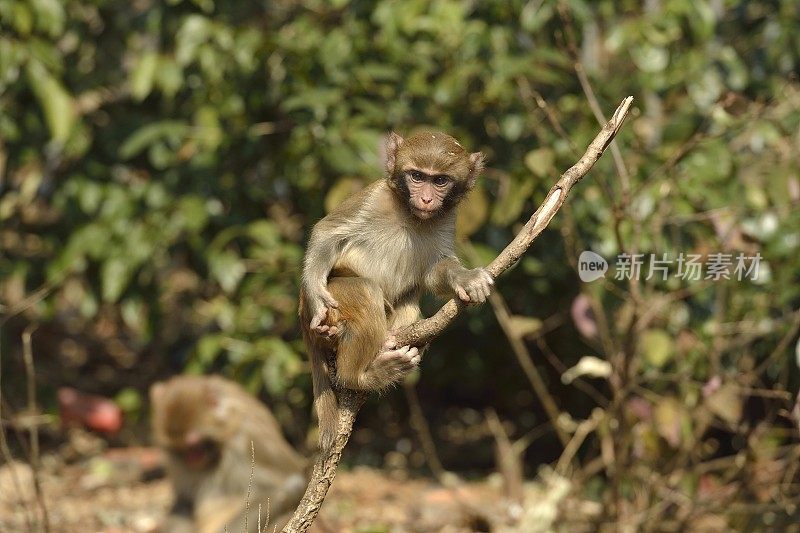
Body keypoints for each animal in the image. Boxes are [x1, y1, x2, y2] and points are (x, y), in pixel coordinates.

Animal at [302, 130, 494, 448]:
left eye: (440, 181)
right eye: (417, 176)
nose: (426, 199)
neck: (409, 213)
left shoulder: (447, 219)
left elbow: (434, 272)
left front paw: (466, 279)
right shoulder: (374, 197)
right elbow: (328, 233)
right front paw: (317, 294)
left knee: (409, 305)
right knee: (365, 292)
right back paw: (360, 377)